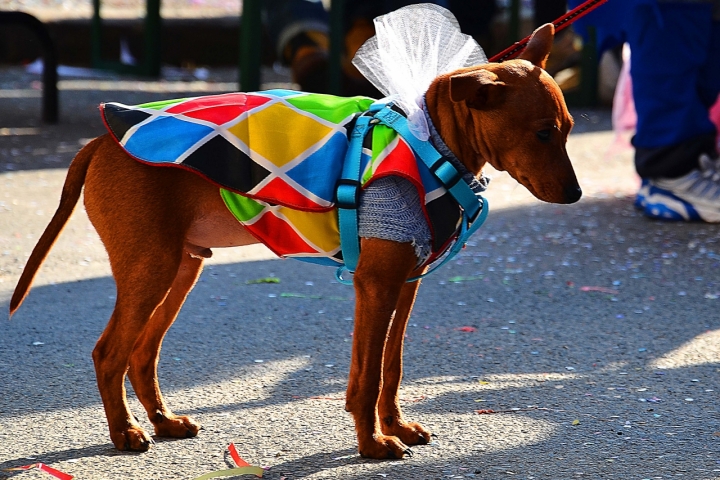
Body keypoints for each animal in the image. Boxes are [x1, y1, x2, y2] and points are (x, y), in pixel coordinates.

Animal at [9, 24, 580, 460]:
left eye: (569, 128)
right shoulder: (376, 286)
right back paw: (125, 432)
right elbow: (366, 376)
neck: (430, 143)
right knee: (110, 353)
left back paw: (164, 421)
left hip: (179, 269)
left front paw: (394, 427)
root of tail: (99, 139)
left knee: (141, 353)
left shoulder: (405, 285)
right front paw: (372, 445)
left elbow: (390, 368)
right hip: (151, 268)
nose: (576, 194)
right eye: (542, 133)